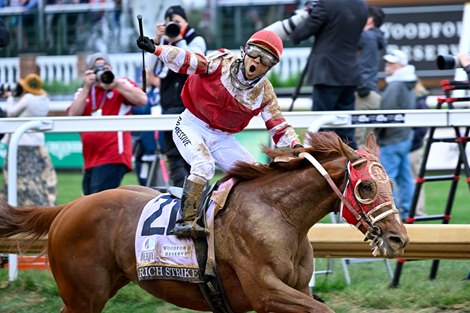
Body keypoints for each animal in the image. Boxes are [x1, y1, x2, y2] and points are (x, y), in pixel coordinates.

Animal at [0, 132, 408, 312]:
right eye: (367, 186)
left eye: (389, 182)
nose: (399, 238)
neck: (279, 215)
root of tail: (67, 209)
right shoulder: (265, 292)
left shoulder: (295, 289)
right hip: (83, 295)